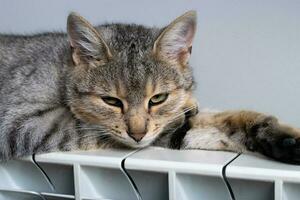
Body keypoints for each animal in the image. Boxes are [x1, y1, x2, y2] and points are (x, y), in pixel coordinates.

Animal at [0, 10, 300, 164]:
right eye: (111, 101)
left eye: (158, 98)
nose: (137, 134)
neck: (62, 70)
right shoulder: (22, 123)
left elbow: (219, 123)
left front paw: (280, 137)